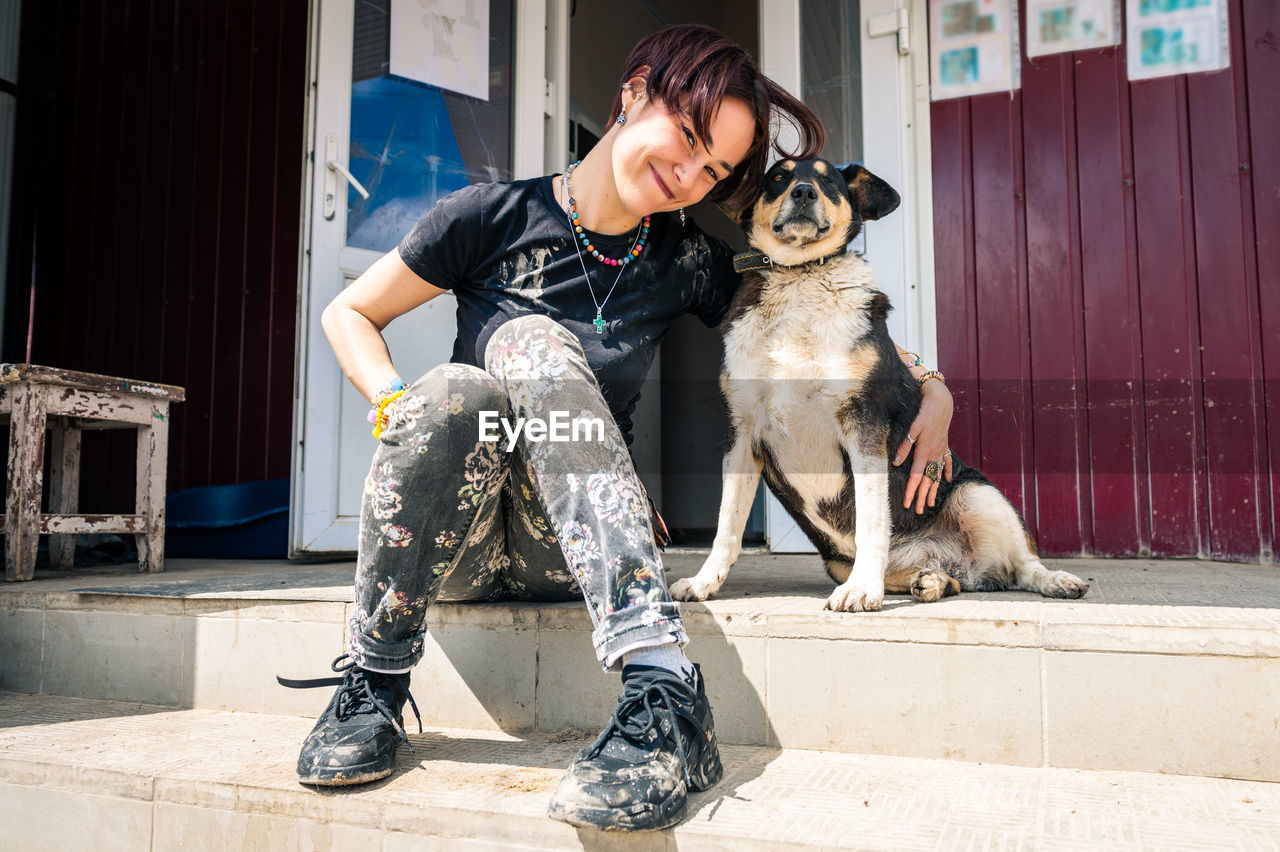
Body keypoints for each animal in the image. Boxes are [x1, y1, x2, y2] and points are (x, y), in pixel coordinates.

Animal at [670, 157, 1090, 611]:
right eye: (777, 177)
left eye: (828, 181)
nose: (803, 192)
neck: (801, 276)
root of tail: (963, 566)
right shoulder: (742, 434)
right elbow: (726, 527)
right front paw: (703, 582)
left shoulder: (864, 424)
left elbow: (872, 521)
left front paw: (860, 591)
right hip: (840, 562)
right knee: (945, 576)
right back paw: (931, 580)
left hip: (980, 493)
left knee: (1024, 565)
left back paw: (1057, 580)